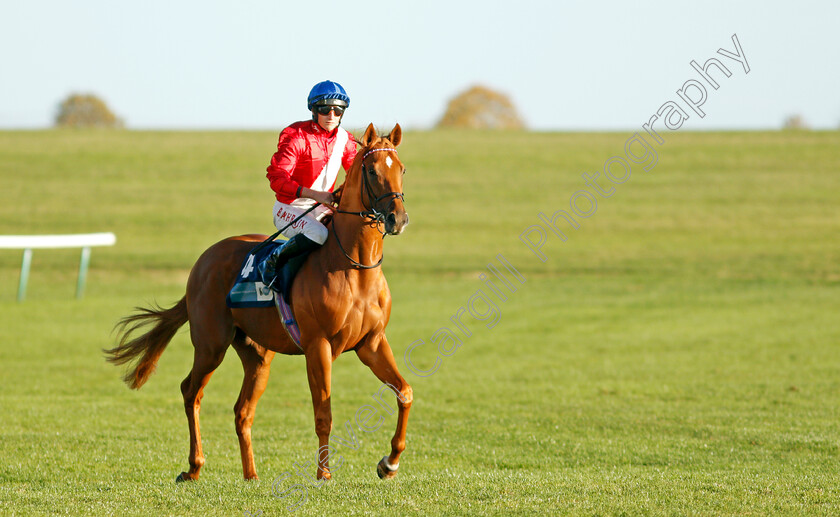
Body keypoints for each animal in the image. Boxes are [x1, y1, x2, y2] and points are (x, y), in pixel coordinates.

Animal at [105, 123, 414, 482]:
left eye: (401, 169)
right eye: (372, 170)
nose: (397, 219)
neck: (354, 267)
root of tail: (204, 261)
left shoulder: (371, 343)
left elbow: (404, 392)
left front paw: (389, 463)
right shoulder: (319, 346)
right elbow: (324, 411)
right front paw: (323, 473)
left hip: (258, 356)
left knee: (242, 410)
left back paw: (250, 474)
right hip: (211, 345)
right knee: (190, 391)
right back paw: (194, 467)